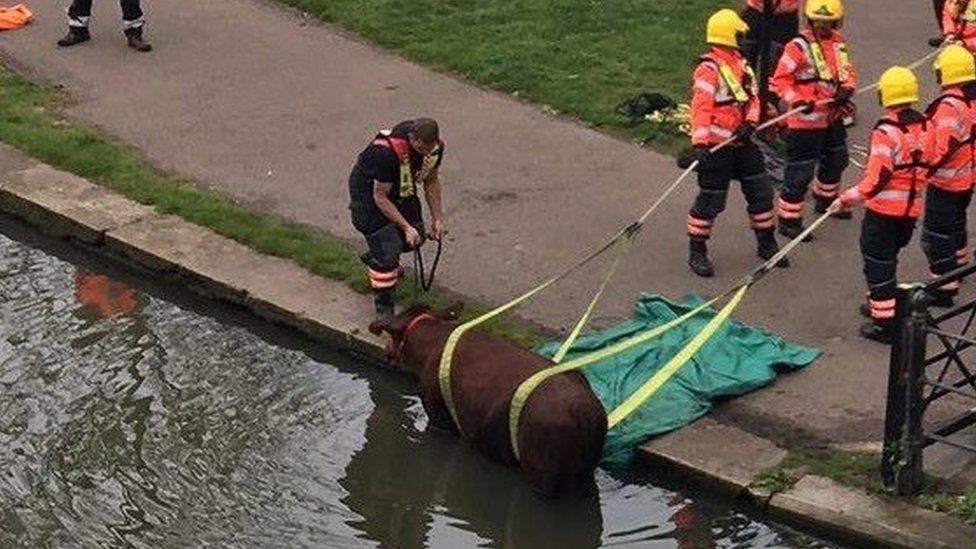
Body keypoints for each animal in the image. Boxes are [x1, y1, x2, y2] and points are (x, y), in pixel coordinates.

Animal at [370, 304, 608, 492]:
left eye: (391, 334)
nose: (385, 351)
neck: (425, 351)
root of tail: (588, 416)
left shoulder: (439, 416)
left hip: (544, 475)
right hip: (585, 475)